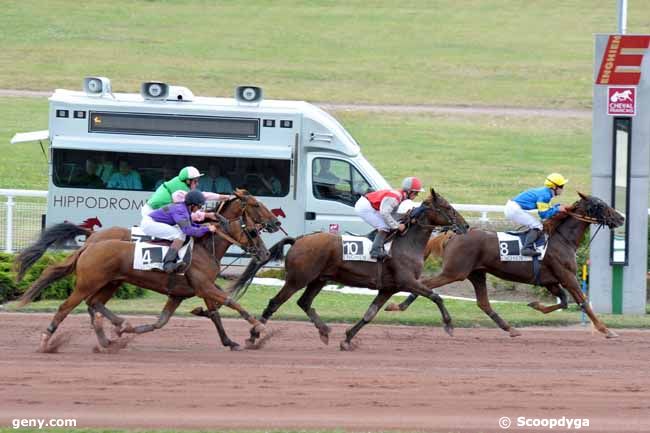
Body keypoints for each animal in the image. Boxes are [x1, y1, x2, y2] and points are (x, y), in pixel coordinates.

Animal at [228, 187, 466, 350]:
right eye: (448, 208)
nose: (465, 226)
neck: (406, 242)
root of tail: (298, 240)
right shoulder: (408, 282)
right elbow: (436, 296)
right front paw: (449, 325)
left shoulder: (388, 288)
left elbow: (370, 314)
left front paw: (348, 338)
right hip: (297, 279)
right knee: (275, 303)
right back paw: (254, 335)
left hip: (319, 279)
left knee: (304, 302)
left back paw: (324, 331)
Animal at [384, 192, 624, 338]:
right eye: (600, 205)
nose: (621, 218)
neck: (561, 238)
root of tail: (452, 234)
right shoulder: (567, 277)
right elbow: (583, 302)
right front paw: (606, 329)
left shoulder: (551, 281)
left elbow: (563, 302)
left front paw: (535, 305)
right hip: (455, 272)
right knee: (425, 283)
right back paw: (397, 306)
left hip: (476, 273)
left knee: (483, 303)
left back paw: (510, 328)